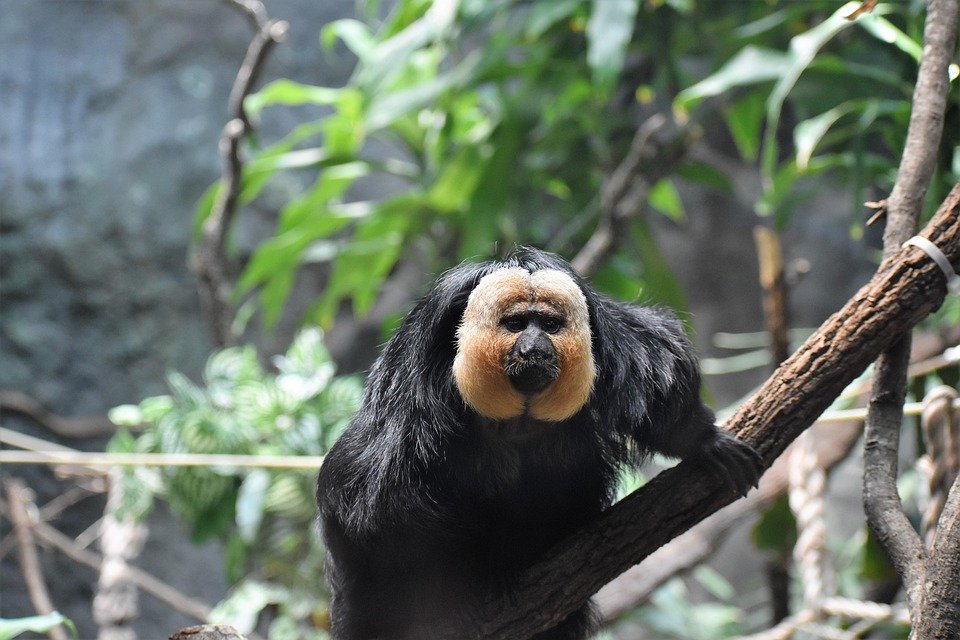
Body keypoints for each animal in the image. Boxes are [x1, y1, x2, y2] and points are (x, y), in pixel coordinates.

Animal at [316, 247, 763, 640]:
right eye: (516, 324)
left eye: (548, 325)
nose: (534, 348)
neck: (518, 420)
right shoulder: (409, 411)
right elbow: (378, 511)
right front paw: (462, 589)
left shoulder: (617, 343)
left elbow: (660, 378)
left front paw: (703, 441)